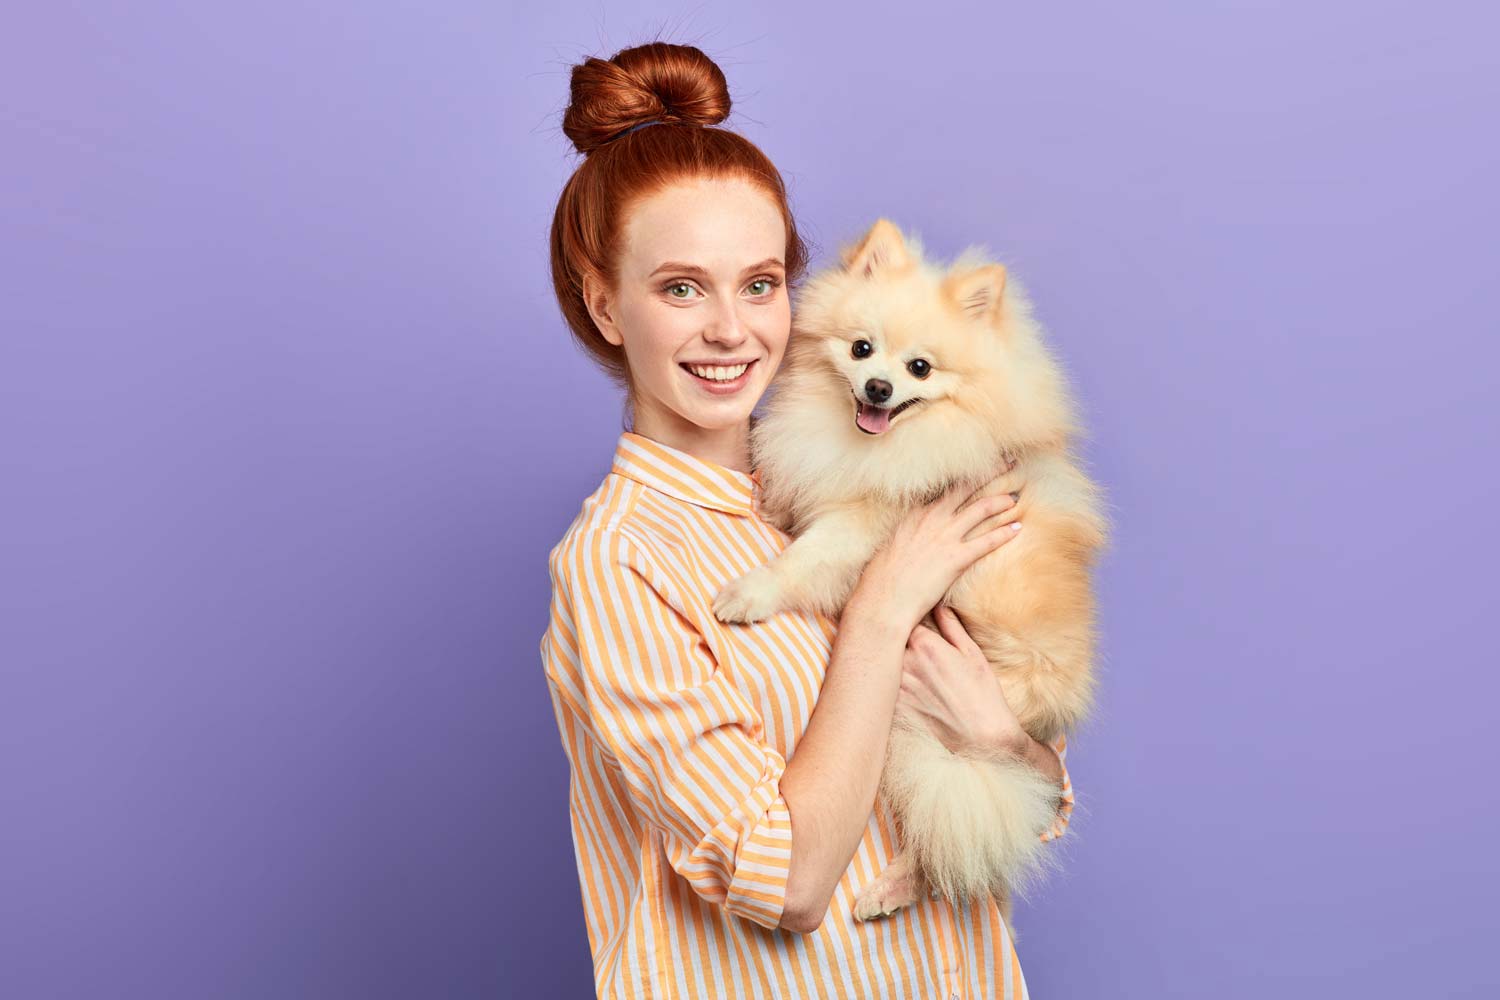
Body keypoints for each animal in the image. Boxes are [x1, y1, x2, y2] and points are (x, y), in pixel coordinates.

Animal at [708, 218, 1110, 941]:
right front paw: (767, 505)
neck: (876, 443)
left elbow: (805, 556)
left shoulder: (871, 521)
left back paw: (894, 889)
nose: (877, 388)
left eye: (919, 368)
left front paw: (751, 592)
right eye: (861, 348)